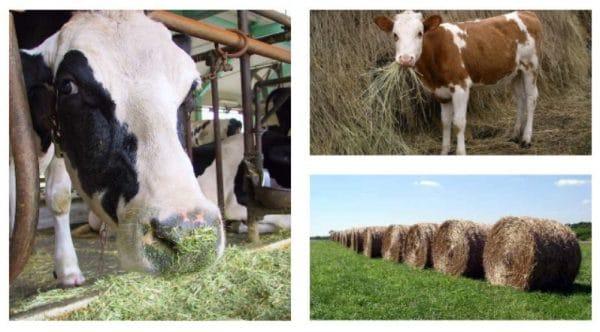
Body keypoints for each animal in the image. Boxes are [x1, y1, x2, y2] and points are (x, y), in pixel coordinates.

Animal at [372, 11, 540, 155]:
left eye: (419, 33)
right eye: (395, 35)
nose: (406, 59)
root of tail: (526, 13)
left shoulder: (461, 87)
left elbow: (458, 123)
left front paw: (460, 152)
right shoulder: (440, 92)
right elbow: (445, 122)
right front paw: (444, 151)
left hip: (530, 66)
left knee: (531, 99)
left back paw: (526, 138)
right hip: (515, 72)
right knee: (520, 99)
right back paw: (515, 134)